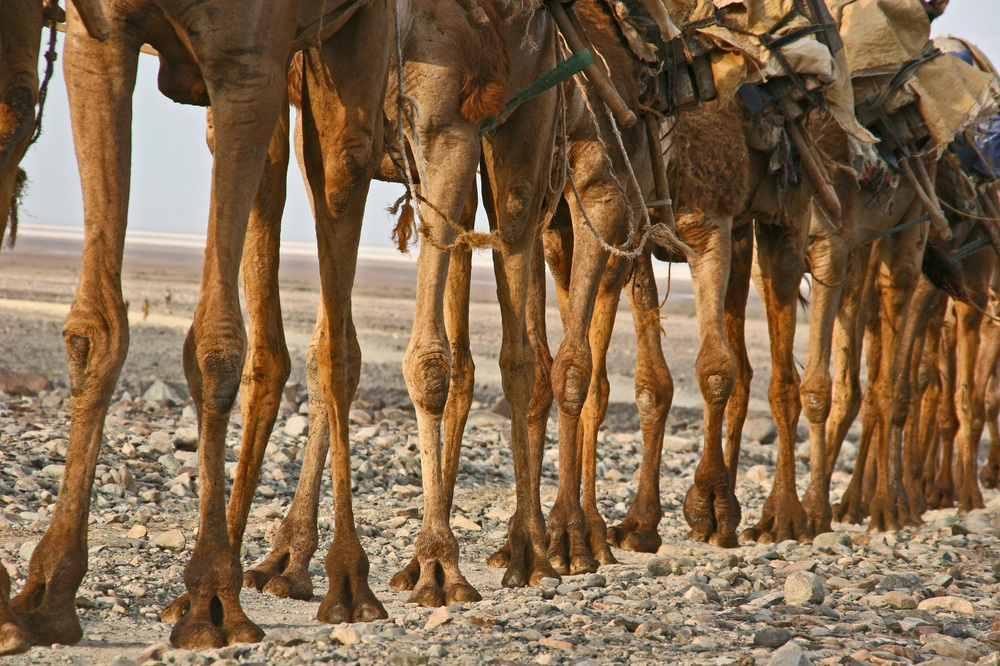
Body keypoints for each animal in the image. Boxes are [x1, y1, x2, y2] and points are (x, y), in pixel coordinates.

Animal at [0, 0, 394, 652]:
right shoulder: (99, 37)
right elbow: (94, 327)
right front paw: (43, 596)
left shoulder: (247, 63)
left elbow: (217, 344)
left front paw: (213, 601)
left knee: (343, 202)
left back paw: (346, 583)